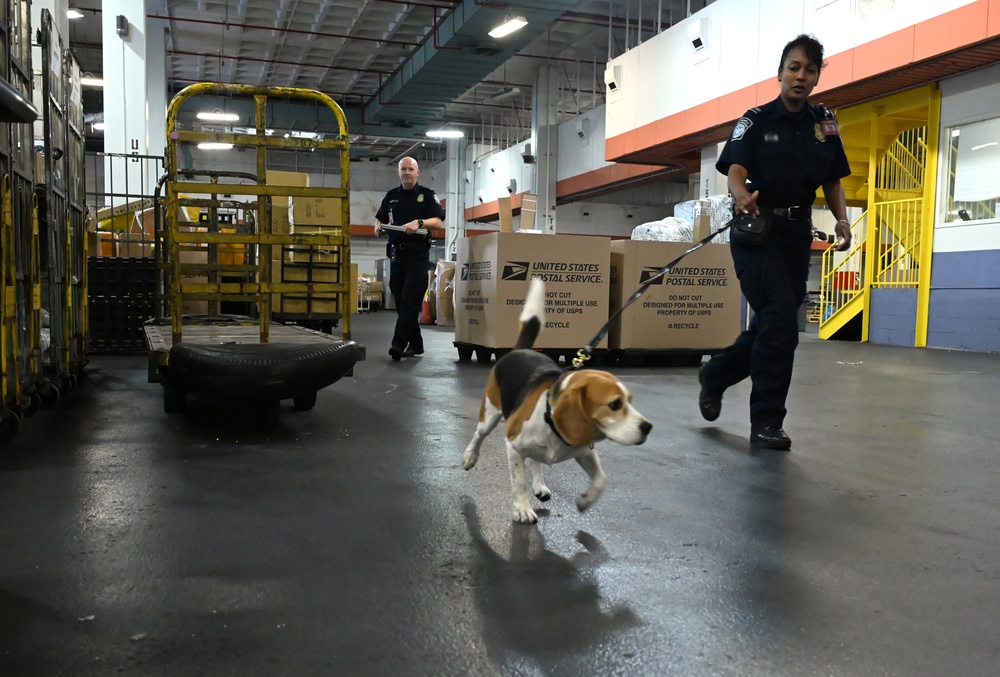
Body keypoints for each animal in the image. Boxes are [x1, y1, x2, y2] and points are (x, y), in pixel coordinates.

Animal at [462, 274, 652, 524]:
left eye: (630, 400)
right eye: (615, 404)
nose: (648, 427)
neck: (552, 422)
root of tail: (520, 350)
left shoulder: (585, 451)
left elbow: (601, 480)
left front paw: (586, 500)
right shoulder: (513, 446)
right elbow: (519, 482)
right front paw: (522, 509)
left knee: (536, 460)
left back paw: (540, 485)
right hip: (491, 412)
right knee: (479, 434)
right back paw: (469, 456)